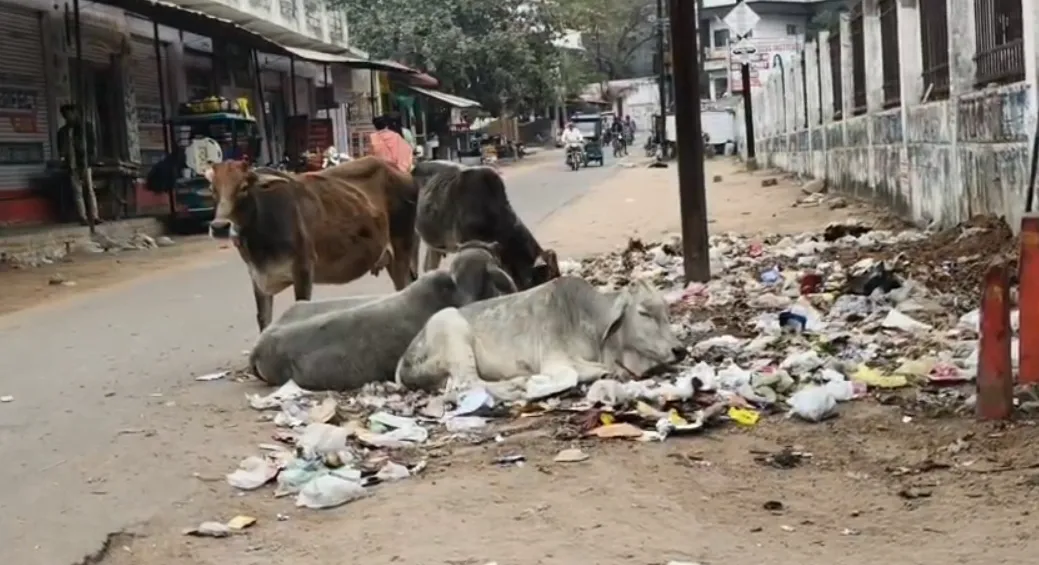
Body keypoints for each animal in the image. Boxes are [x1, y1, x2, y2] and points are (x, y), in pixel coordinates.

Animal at [205, 157, 420, 332]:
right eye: (212, 189)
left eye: (243, 187)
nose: (219, 227)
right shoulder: (257, 278)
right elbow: (264, 320)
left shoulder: (303, 268)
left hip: (403, 248)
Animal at [395, 276, 687, 396]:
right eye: (644, 313)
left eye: (667, 312)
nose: (679, 350)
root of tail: (402, 362)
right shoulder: (554, 361)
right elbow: (582, 372)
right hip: (452, 330)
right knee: (467, 383)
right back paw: (517, 384)